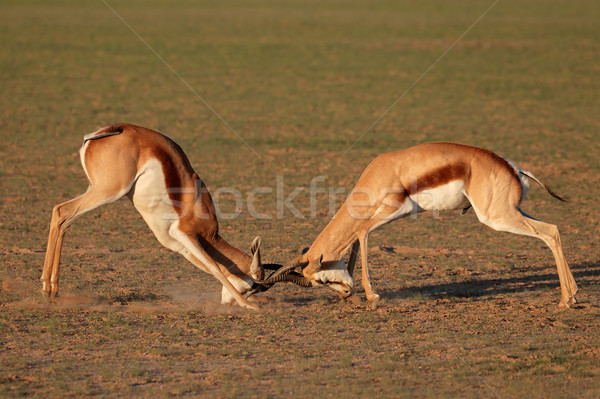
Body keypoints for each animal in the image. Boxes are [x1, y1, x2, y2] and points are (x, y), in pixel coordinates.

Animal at [42, 123, 302, 310]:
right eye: (252, 287)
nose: (228, 303)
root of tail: (108, 130)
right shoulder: (186, 234)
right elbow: (216, 267)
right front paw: (249, 305)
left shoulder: (179, 246)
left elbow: (210, 267)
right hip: (108, 192)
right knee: (61, 211)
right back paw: (49, 289)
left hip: (95, 189)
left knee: (63, 218)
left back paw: (51, 290)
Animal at [296, 143, 576, 310]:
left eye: (319, 279)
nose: (345, 293)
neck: (382, 173)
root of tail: (513, 168)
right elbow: (356, 237)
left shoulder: (394, 210)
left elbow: (361, 231)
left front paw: (373, 298)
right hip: (513, 211)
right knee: (553, 230)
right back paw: (572, 295)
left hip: (497, 218)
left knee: (550, 232)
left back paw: (565, 300)